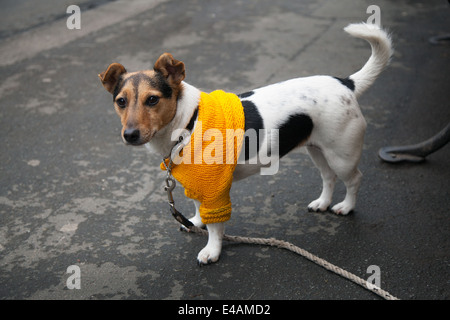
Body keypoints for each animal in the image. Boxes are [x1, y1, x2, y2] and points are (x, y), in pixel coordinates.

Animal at [99, 21, 394, 262]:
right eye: (121, 102)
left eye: (152, 100)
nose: (130, 135)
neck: (188, 122)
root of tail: (346, 83)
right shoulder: (199, 185)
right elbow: (199, 210)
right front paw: (196, 222)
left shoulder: (216, 190)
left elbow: (216, 226)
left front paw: (212, 250)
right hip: (317, 150)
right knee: (328, 177)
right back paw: (323, 202)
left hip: (341, 155)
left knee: (354, 179)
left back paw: (346, 206)